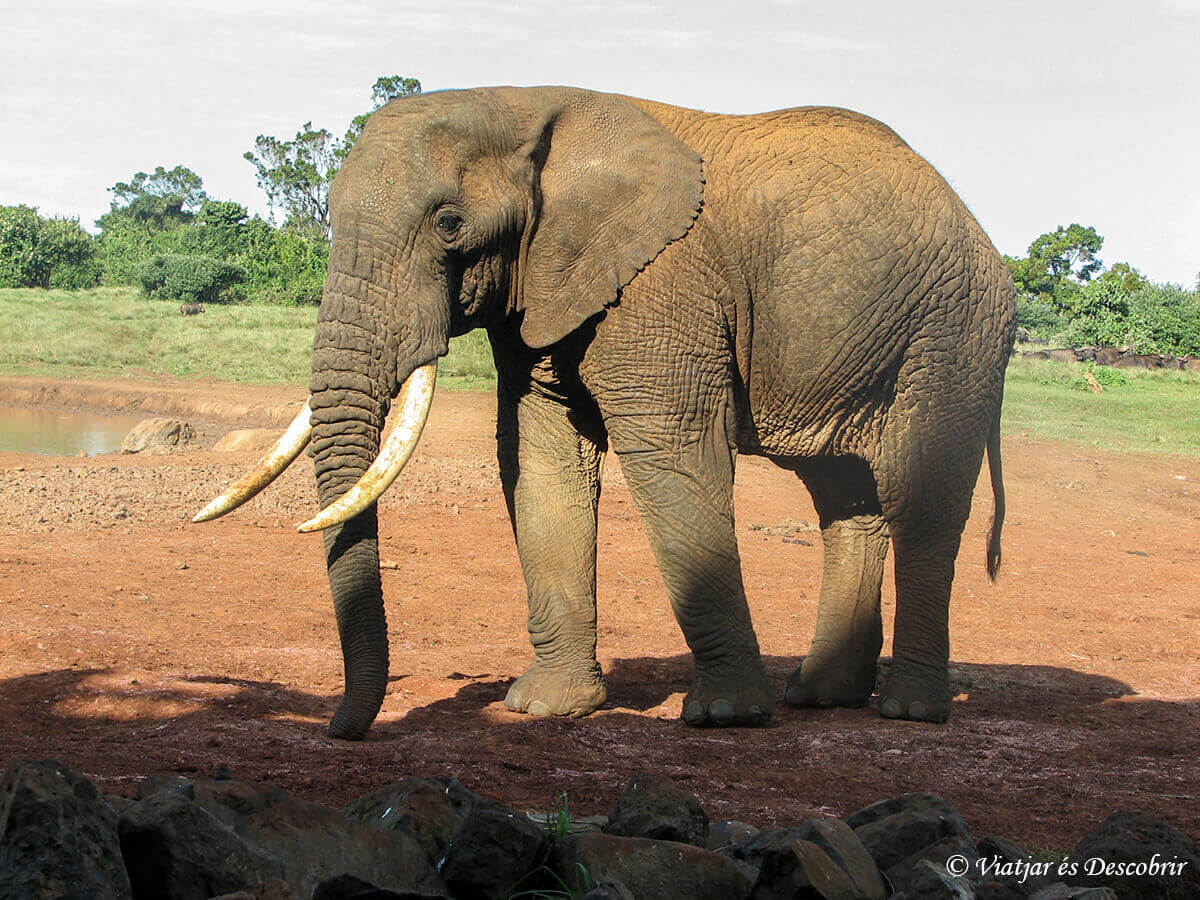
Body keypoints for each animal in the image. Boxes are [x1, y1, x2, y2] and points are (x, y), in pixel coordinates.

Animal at [197, 86, 1016, 740]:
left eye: (449, 224)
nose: (342, 728)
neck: (525, 107)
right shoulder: (541, 286)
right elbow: (538, 455)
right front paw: (544, 708)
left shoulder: (661, 286)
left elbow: (669, 452)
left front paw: (724, 718)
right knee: (844, 497)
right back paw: (818, 698)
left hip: (954, 331)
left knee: (920, 497)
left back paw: (909, 712)